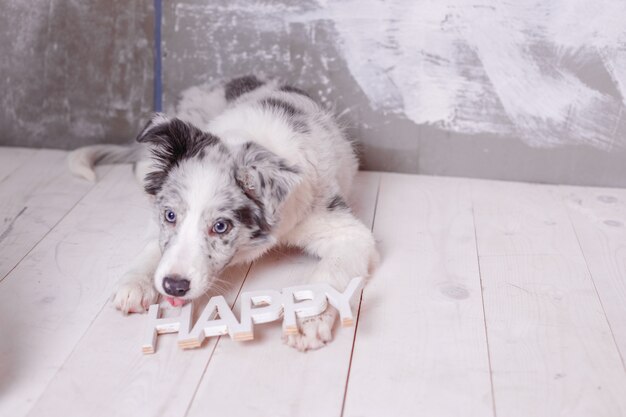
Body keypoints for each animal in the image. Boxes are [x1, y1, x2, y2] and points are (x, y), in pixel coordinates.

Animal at [70, 75, 378, 352]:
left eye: (221, 227)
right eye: (170, 216)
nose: (173, 286)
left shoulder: (346, 231)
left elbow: (330, 273)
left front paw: (307, 318)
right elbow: (154, 245)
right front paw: (134, 282)